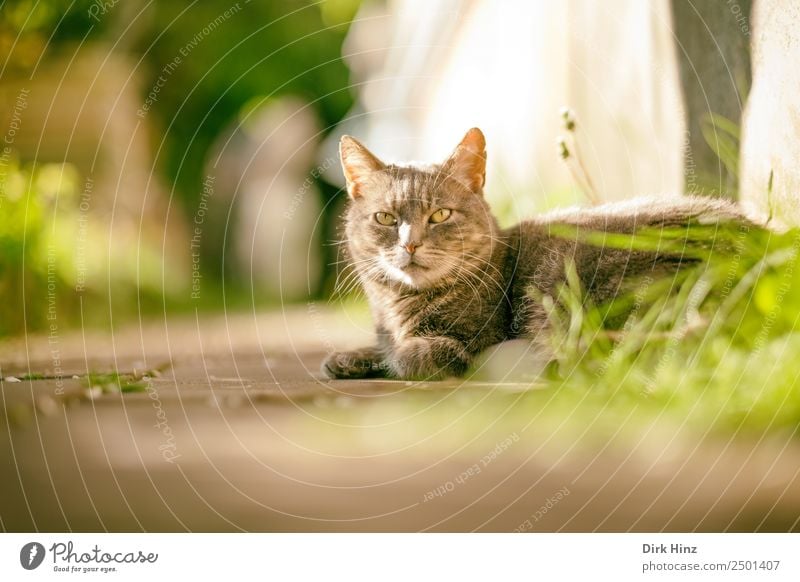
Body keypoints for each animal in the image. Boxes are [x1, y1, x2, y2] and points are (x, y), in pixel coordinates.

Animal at [322, 128, 752, 384]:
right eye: (386, 218)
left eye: (440, 214)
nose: (410, 244)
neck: (399, 304)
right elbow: (378, 347)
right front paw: (349, 357)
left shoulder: (467, 339)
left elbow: (413, 355)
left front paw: (391, 357)